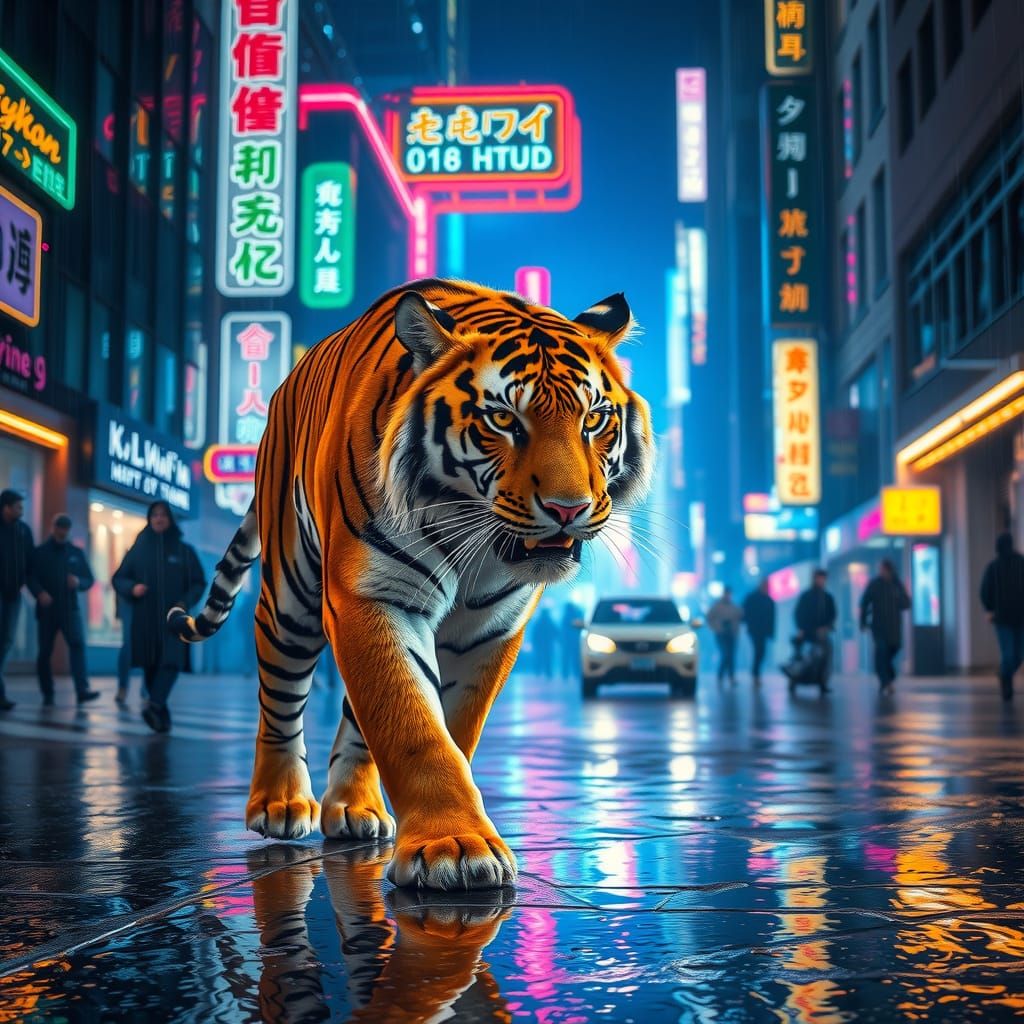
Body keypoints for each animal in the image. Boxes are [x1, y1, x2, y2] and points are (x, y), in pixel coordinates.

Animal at [170, 278, 654, 891]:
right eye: (503, 420)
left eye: (594, 420)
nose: (569, 509)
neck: (475, 538)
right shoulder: (373, 597)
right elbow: (413, 724)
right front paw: (453, 848)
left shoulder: (489, 628)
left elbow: (448, 725)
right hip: (289, 596)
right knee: (280, 695)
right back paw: (278, 803)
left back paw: (355, 809)